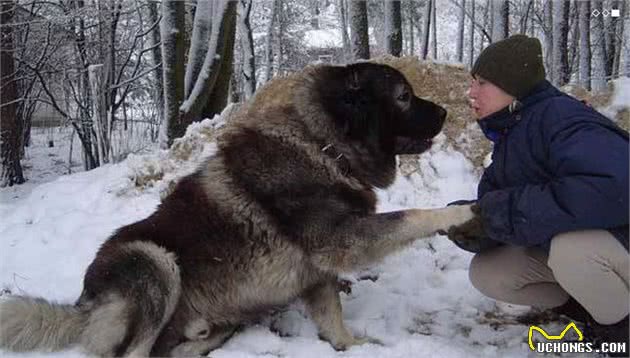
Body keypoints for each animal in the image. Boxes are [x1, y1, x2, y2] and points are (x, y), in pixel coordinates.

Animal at [0, 63, 474, 356]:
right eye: (403, 96)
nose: (446, 111)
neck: (326, 146)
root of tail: (84, 304)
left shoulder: (318, 271)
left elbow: (333, 320)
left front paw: (351, 347)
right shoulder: (341, 241)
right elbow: (414, 216)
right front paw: (463, 212)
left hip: (217, 312)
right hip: (156, 262)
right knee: (136, 350)